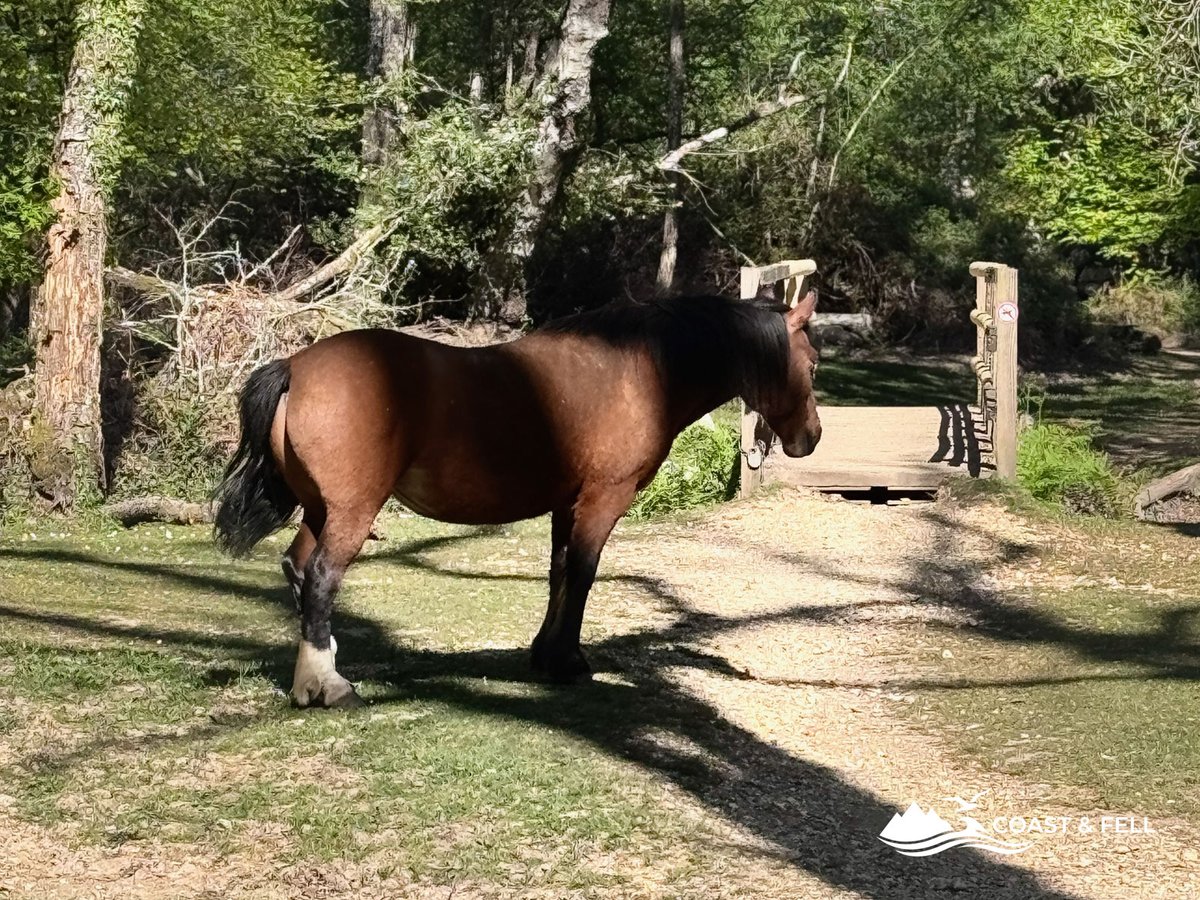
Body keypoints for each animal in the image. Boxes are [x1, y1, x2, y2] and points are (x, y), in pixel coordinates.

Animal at [213, 292, 822, 708]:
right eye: (813, 361)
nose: (811, 437)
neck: (641, 369)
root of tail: (295, 367)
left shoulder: (565, 505)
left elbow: (559, 574)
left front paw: (545, 654)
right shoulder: (603, 501)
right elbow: (582, 575)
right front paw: (568, 662)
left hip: (321, 511)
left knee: (297, 568)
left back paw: (314, 674)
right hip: (352, 513)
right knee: (320, 577)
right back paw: (331, 685)